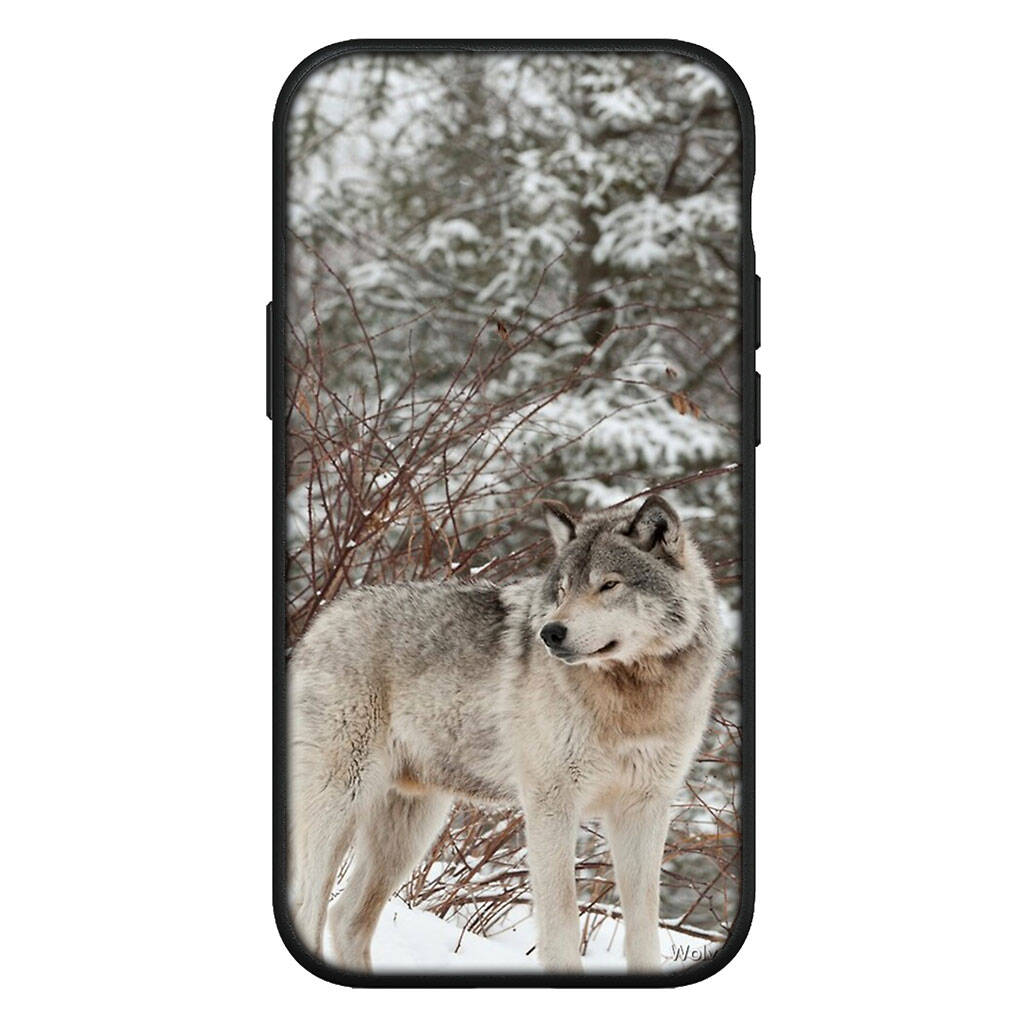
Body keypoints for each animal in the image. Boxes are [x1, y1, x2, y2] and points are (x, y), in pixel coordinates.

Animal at [287, 494, 724, 973]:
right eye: (562, 590)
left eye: (609, 585)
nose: (551, 633)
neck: (632, 700)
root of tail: (324, 619)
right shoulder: (551, 804)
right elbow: (562, 925)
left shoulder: (644, 810)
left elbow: (644, 930)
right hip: (341, 803)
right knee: (310, 910)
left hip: (410, 828)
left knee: (346, 918)